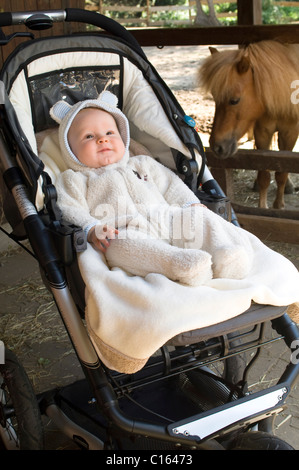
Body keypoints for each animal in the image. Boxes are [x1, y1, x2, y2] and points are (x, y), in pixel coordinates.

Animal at [200, 41, 299, 208]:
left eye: (234, 100)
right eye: (214, 98)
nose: (216, 147)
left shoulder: (290, 132)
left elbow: (282, 171)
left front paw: (278, 206)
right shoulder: (262, 131)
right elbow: (264, 174)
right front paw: (262, 207)